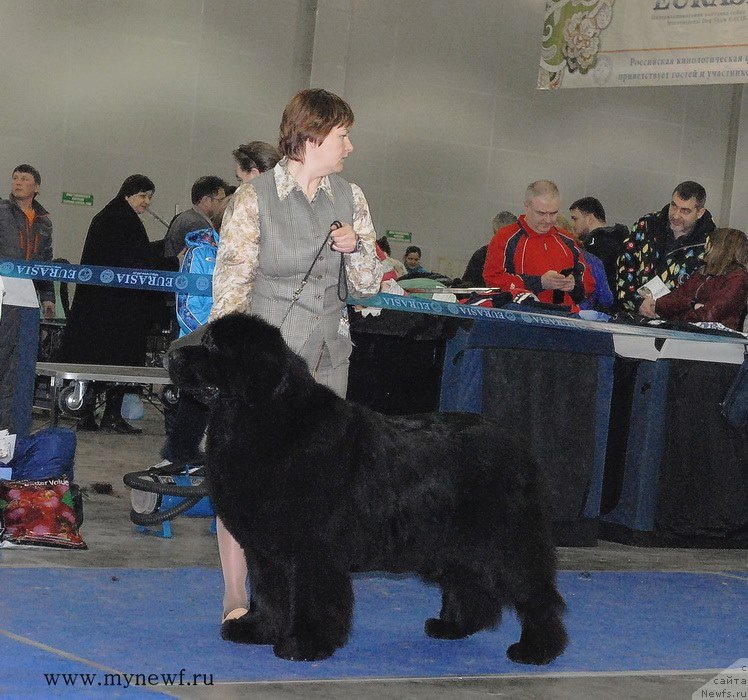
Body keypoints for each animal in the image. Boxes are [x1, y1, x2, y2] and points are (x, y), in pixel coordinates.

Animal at [169, 314, 568, 664]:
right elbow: (268, 592)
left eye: (211, 345)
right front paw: (257, 630)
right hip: (456, 543)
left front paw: (305, 644)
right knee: (470, 584)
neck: (261, 417)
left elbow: (312, 598)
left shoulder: (314, 548)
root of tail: (518, 444)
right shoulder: (266, 548)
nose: (171, 355)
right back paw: (452, 627)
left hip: (508, 542)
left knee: (536, 593)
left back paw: (537, 650)